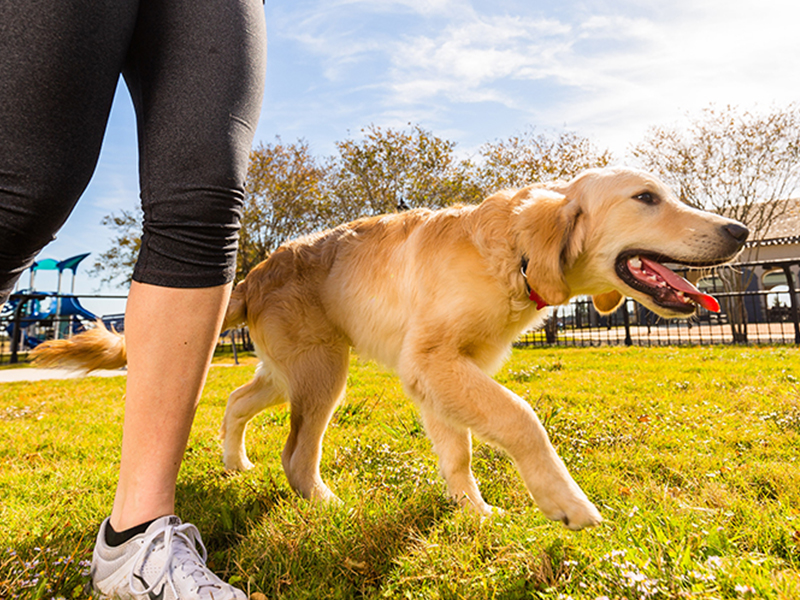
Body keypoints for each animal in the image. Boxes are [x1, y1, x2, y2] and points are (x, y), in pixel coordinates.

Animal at [34, 166, 752, 528]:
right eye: (646, 198)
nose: (739, 229)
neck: (514, 252)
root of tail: (259, 270)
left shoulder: (448, 374)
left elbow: (459, 452)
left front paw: (474, 512)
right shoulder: (431, 363)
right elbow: (522, 419)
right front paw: (567, 504)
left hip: (287, 369)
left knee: (237, 400)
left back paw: (236, 464)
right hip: (322, 373)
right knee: (296, 455)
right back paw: (324, 504)